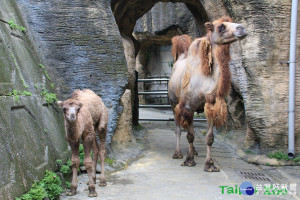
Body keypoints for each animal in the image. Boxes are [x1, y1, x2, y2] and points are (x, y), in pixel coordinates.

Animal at [168, 16, 247, 172]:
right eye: (221, 27)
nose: (242, 29)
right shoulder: (188, 106)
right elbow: (190, 135)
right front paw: (189, 161)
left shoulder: (211, 104)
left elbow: (209, 137)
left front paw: (209, 164)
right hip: (174, 103)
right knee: (179, 129)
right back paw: (178, 153)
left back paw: (193, 151)